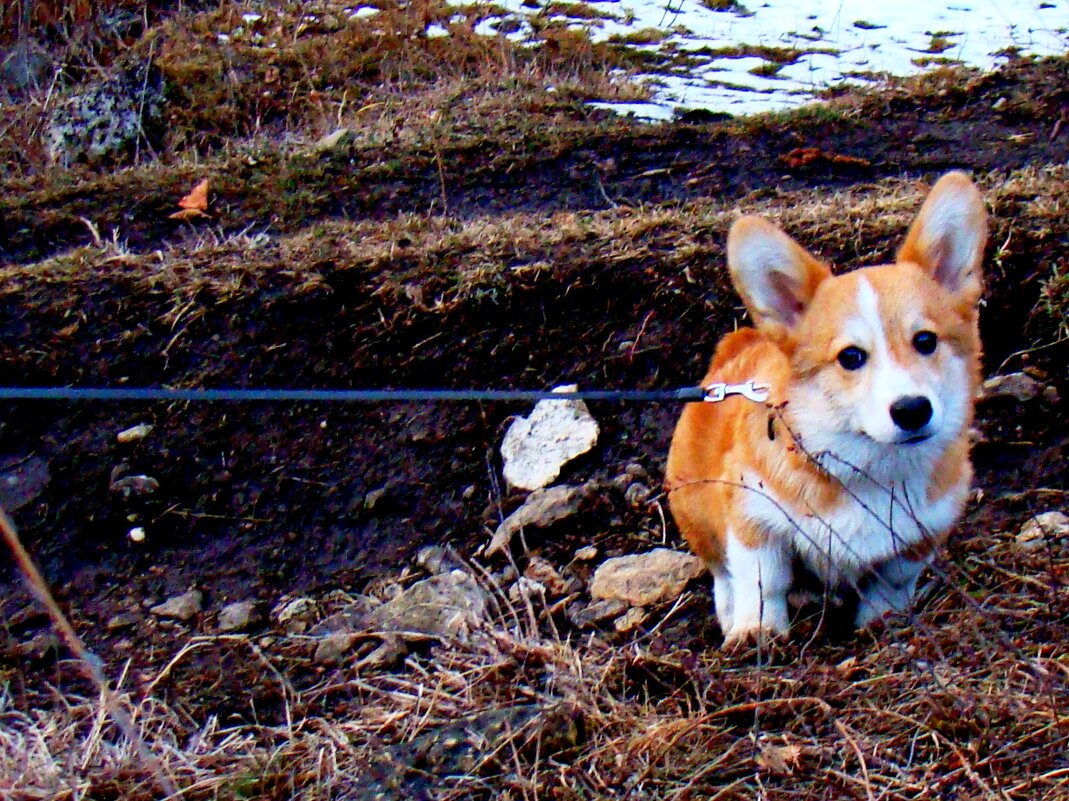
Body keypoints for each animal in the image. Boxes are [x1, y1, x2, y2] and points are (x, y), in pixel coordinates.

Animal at [667, 173, 983, 641]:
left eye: (926, 341)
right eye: (850, 357)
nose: (912, 410)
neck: (868, 469)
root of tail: (741, 341)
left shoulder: (920, 536)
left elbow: (891, 584)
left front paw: (881, 625)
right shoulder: (754, 518)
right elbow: (763, 581)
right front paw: (757, 633)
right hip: (692, 505)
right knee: (721, 570)